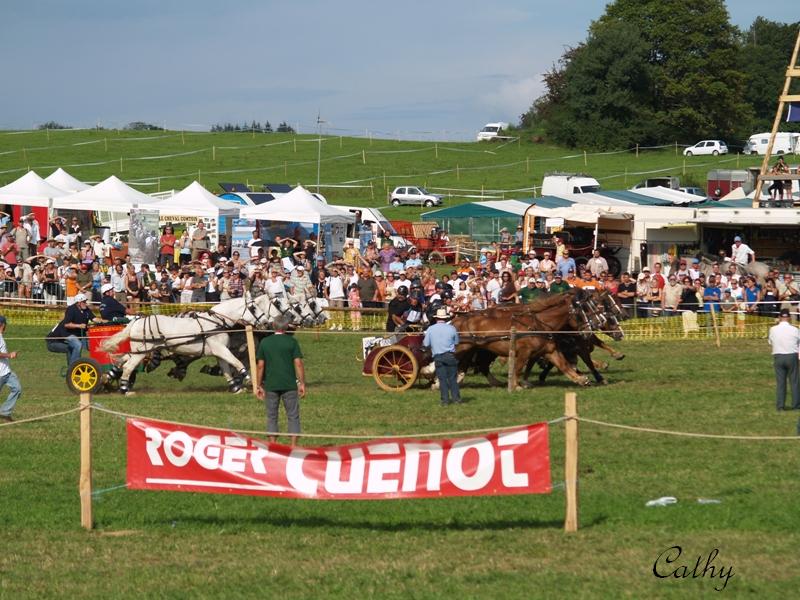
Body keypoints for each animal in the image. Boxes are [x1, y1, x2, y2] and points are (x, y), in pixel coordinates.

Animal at [100, 292, 274, 394]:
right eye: (253, 307)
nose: (266, 322)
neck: (216, 322)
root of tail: (136, 321)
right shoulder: (221, 349)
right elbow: (237, 363)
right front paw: (249, 380)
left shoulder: (219, 351)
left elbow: (226, 369)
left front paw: (235, 387)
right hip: (142, 352)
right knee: (128, 367)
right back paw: (125, 389)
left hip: (139, 351)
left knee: (122, 361)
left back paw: (108, 379)